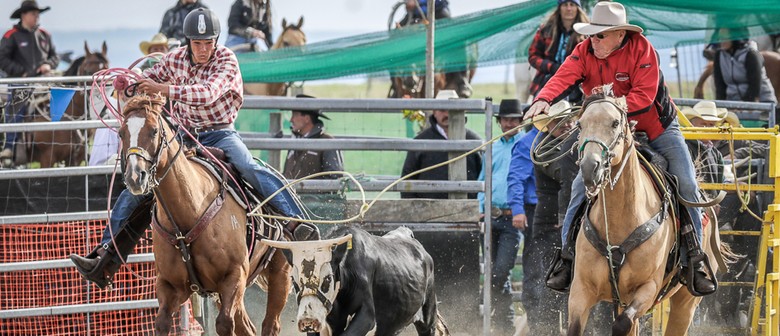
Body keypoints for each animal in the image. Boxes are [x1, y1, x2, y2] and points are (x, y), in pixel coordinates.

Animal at [568, 92, 732, 336]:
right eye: (580, 124)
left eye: (615, 123)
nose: (590, 168)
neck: (619, 220)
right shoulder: (581, 290)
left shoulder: (648, 288)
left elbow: (622, 324)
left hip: (686, 302)